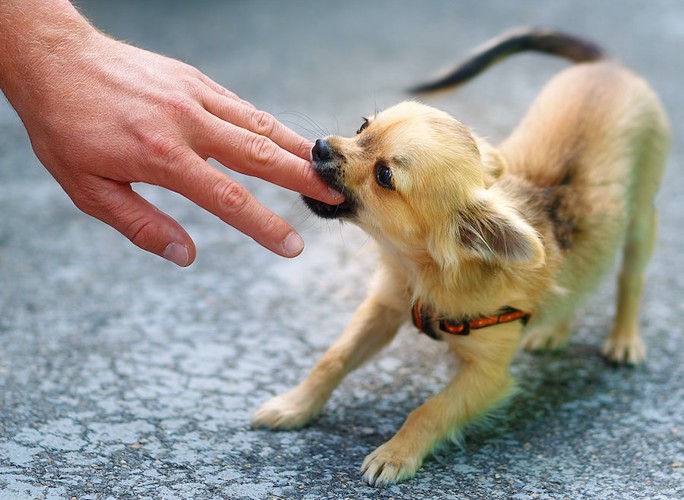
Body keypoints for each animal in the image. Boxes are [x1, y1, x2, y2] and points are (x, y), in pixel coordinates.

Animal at [251, 26, 668, 484]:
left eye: (384, 176)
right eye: (363, 126)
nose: (321, 146)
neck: (421, 270)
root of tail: (608, 66)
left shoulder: (487, 377)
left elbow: (430, 410)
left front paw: (396, 453)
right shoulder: (384, 308)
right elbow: (332, 359)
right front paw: (294, 405)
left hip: (640, 222)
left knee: (631, 279)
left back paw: (624, 339)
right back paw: (553, 330)